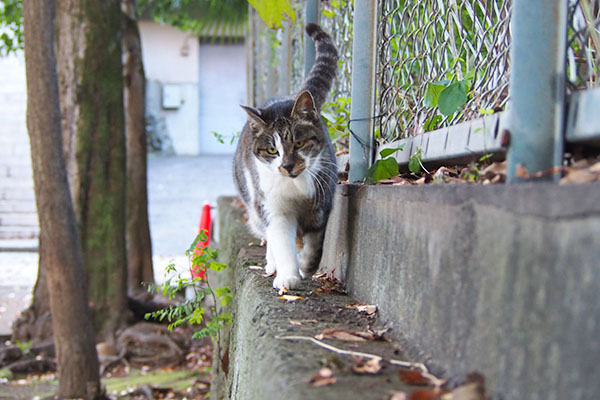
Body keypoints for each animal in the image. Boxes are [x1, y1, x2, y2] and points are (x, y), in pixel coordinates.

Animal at [233, 23, 338, 290]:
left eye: (299, 143)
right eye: (273, 150)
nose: (287, 165)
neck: (295, 188)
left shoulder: (320, 204)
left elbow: (315, 244)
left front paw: (305, 266)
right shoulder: (273, 208)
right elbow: (280, 240)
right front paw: (288, 275)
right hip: (254, 205)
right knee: (267, 234)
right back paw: (272, 265)